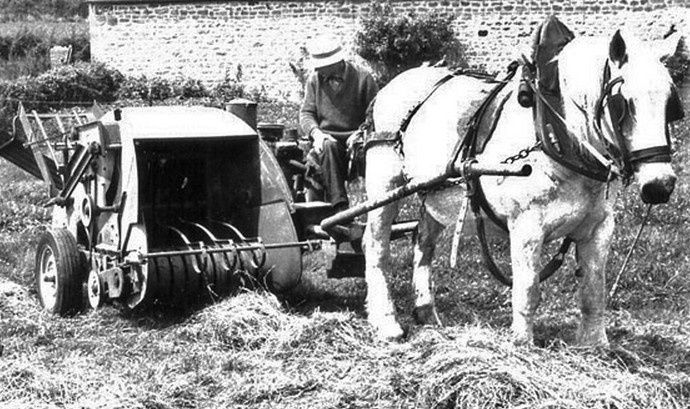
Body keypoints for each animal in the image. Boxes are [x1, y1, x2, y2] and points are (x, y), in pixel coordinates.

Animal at [362, 30, 680, 346]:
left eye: (670, 103)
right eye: (624, 103)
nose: (660, 186)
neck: (556, 137)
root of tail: (392, 84)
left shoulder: (599, 227)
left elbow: (593, 290)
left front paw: (595, 345)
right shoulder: (526, 227)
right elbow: (528, 290)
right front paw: (521, 343)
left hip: (434, 193)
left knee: (423, 243)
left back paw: (427, 313)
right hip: (384, 186)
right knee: (377, 248)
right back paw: (386, 323)